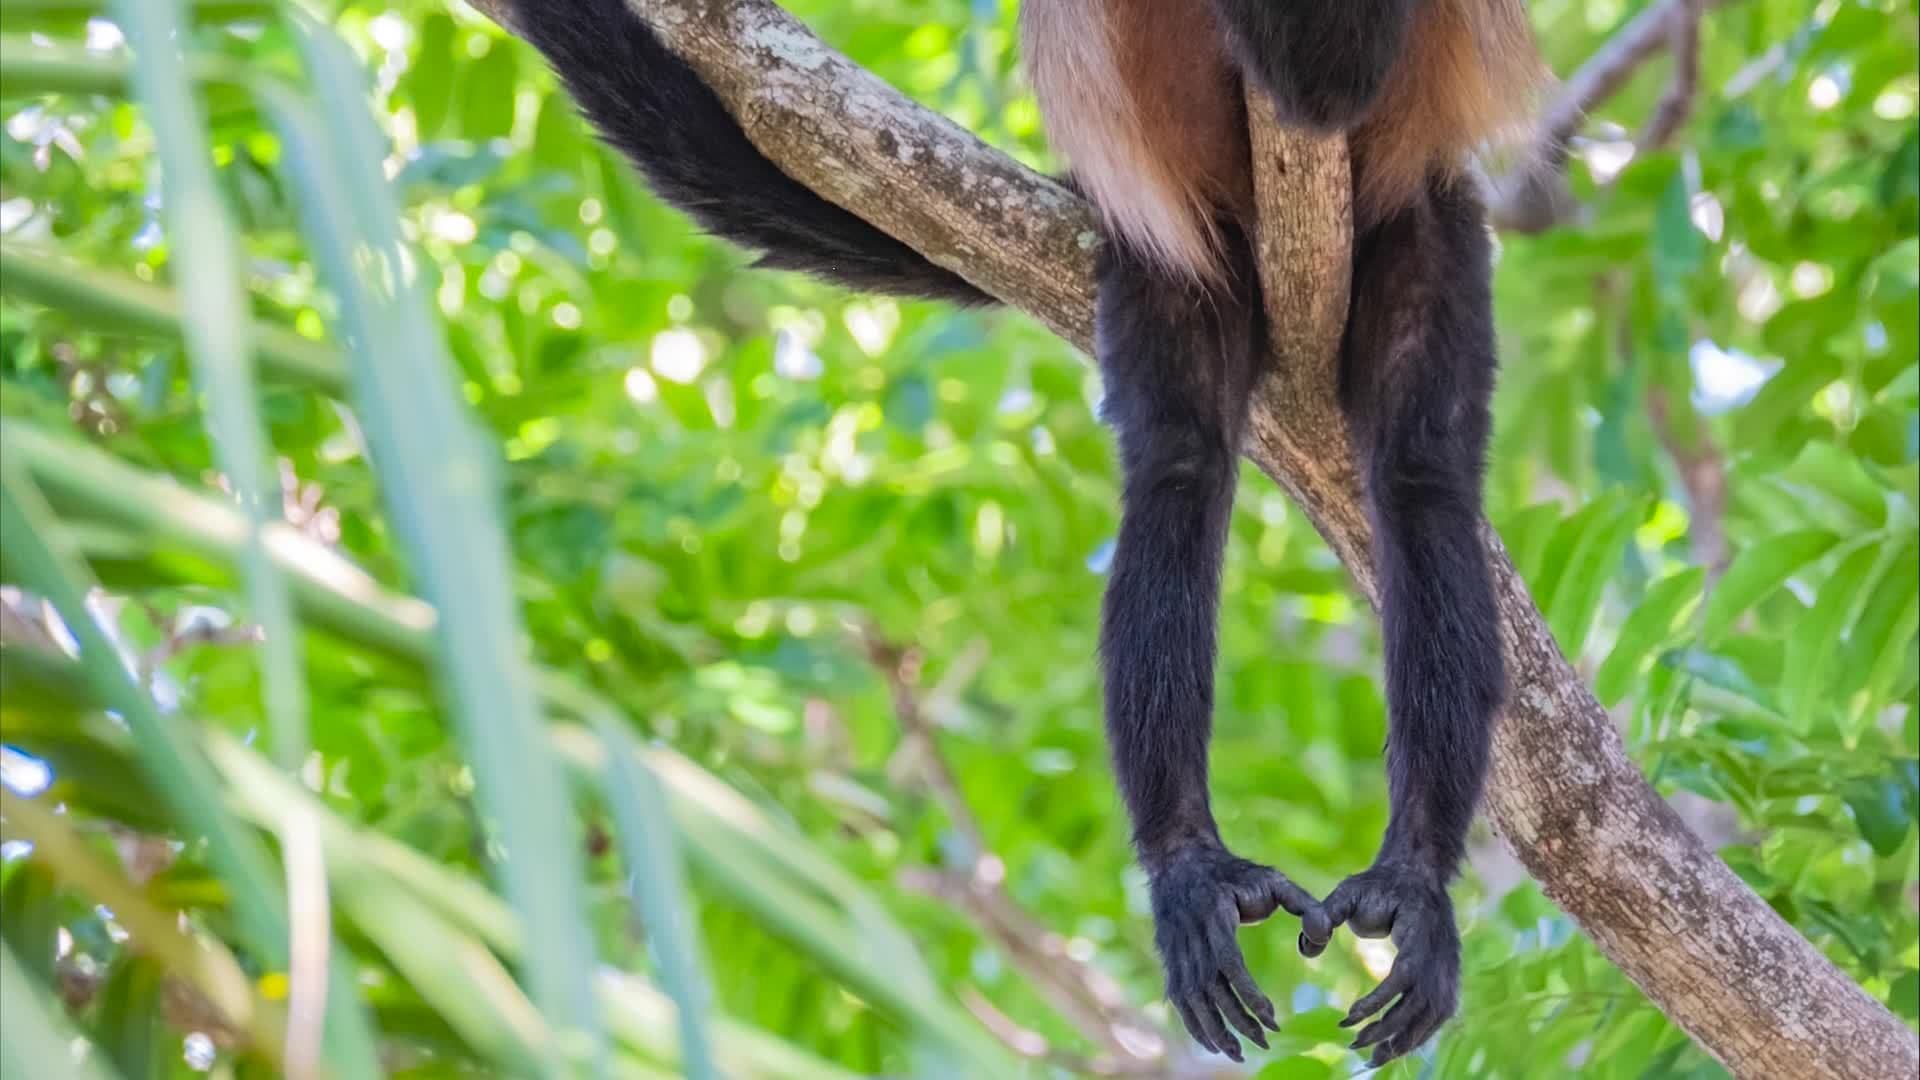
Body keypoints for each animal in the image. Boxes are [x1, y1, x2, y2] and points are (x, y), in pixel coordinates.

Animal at [497, 0, 1542, 1065]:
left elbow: (1332, 85)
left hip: (1417, 225)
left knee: (1419, 480)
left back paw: (1413, 875)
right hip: (1177, 251)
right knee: (1176, 470)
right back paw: (1189, 864)